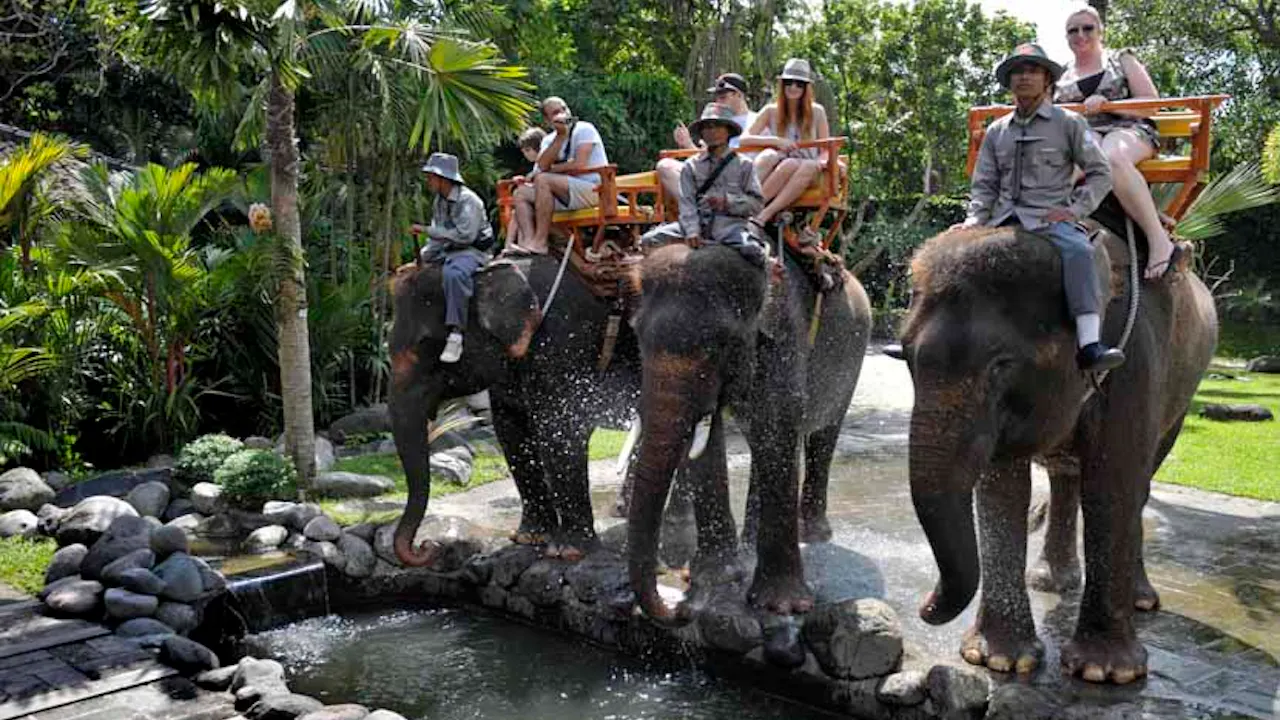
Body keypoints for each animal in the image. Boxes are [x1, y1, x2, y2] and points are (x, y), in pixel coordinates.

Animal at [388, 256, 643, 566]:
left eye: (425, 348)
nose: (427, 546)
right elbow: (511, 429)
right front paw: (529, 538)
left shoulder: (563, 340)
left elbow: (560, 428)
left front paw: (569, 552)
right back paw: (626, 510)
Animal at [625, 244, 872, 622]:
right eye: (637, 336)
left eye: (721, 345)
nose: (681, 609)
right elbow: (710, 440)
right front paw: (715, 577)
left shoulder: (785, 333)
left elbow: (778, 419)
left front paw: (781, 606)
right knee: (760, 442)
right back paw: (749, 544)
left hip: (853, 359)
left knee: (823, 434)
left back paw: (814, 535)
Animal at [899, 225, 1216, 684]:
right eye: (905, 356)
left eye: (1001, 365)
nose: (924, 608)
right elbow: (1003, 487)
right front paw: (999, 660)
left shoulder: (1133, 357)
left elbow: (1113, 480)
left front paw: (1105, 672)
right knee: (1067, 476)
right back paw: (1051, 583)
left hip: (1184, 392)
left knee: (1139, 483)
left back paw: (1139, 600)